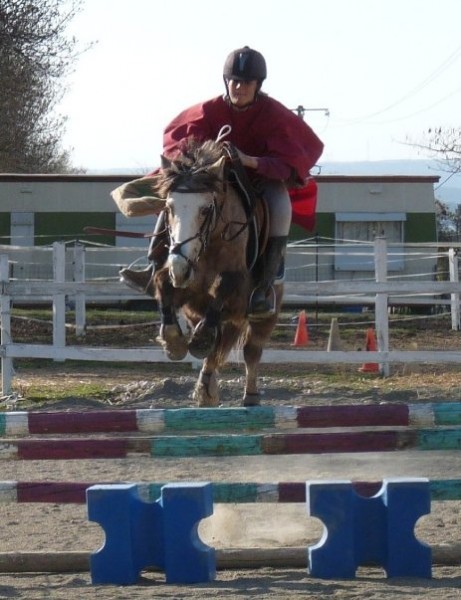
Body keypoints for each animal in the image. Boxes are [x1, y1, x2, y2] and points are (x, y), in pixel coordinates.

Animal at [113, 138, 282, 406]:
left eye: (205, 209)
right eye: (169, 208)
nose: (180, 268)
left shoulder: (235, 284)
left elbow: (222, 290)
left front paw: (200, 341)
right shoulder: (183, 284)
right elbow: (163, 285)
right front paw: (174, 343)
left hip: (263, 315)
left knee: (250, 350)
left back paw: (249, 396)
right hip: (196, 311)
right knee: (216, 344)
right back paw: (206, 389)